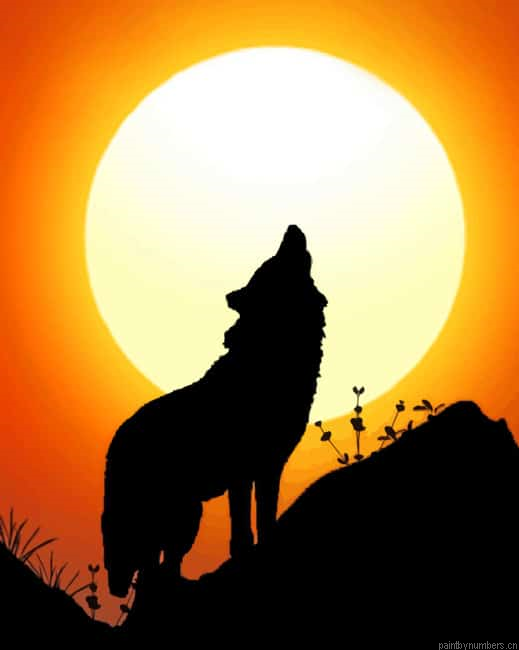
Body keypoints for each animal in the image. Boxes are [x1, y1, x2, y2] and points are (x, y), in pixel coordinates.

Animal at [102, 225, 327, 597]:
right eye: (271, 264)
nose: (291, 228)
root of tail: (116, 440)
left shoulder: (270, 466)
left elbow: (266, 519)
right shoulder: (242, 472)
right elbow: (242, 532)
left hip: (186, 517)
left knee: (161, 565)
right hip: (163, 518)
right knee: (147, 568)